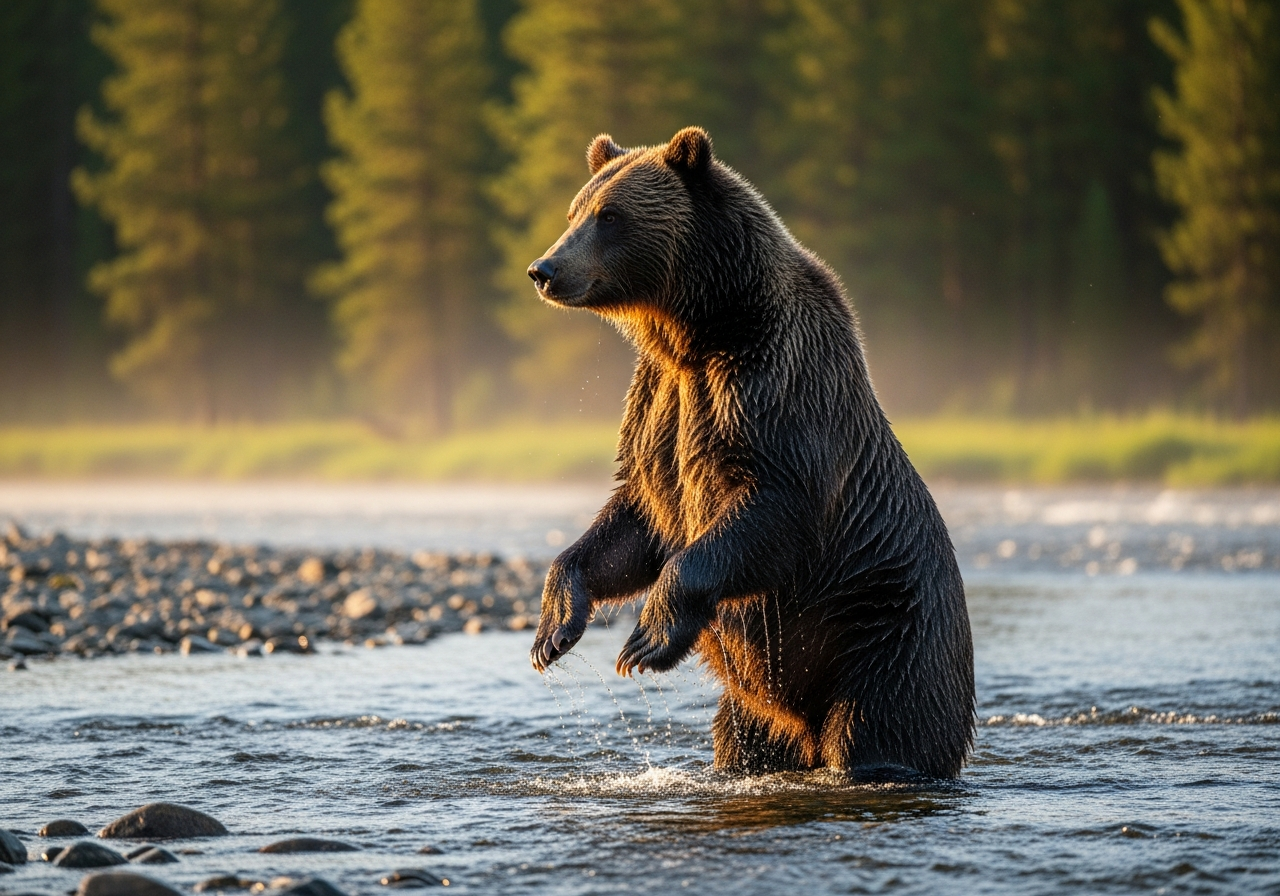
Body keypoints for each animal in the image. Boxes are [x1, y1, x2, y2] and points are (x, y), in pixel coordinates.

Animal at [525, 126, 975, 779]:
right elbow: (634, 516)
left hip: (887, 642)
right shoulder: (660, 401)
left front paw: (645, 640)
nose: (544, 268)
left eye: (611, 216)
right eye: (575, 211)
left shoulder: (773, 391)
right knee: (744, 737)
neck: (698, 328)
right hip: (754, 708)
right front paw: (553, 629)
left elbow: (771, 510)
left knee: (879, 728)